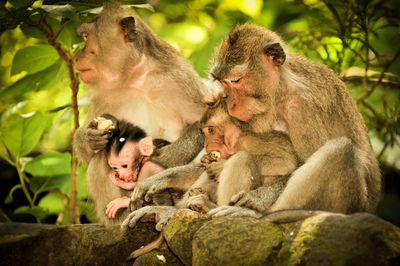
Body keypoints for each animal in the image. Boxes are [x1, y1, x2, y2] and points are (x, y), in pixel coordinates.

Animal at [72, 3, 208, 225]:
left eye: (85, 37)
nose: (78, 56)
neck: (134, 76)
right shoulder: (102, 95)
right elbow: (89, 150)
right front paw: (88, 137)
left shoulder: (179, 76)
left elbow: (205, 122)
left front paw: (163, 156)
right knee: (100, 158)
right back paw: (119, 215)